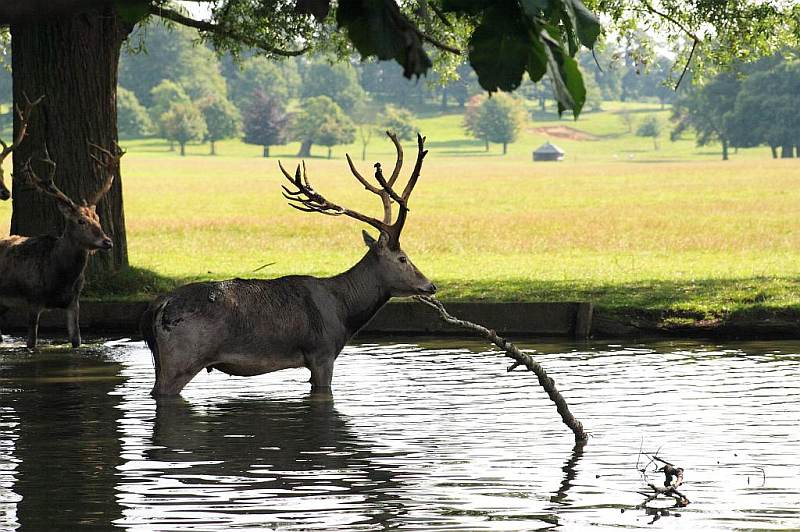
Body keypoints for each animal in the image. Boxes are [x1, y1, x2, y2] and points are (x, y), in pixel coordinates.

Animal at [0, 142, 121, 350]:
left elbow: (76, 340)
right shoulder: (33, 298)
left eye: (97, 218)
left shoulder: (74, 301)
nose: (107, 241)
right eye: (81, 221)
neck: (59, 278)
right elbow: (31, 342)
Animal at [141, 133, 434, 396]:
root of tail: (159, 305)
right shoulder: (322, 351)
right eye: (403, 258)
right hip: (184, 356)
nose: (430, 285)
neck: (344, 310)